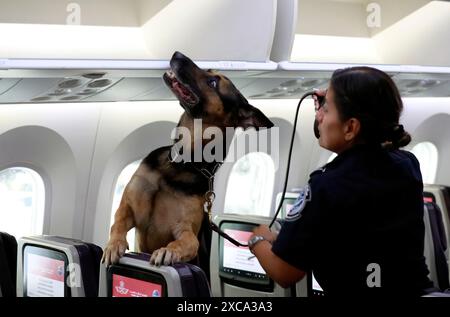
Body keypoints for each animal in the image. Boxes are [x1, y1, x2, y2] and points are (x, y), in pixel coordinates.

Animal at [102, 51, 272, 266]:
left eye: (213, 82)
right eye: (210, 72)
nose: (178, 54)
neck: (180, 163)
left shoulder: (186, 231)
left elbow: (186, 243)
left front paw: (168, 251)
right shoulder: (128, 207)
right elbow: (117, 223)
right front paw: (114, 245)